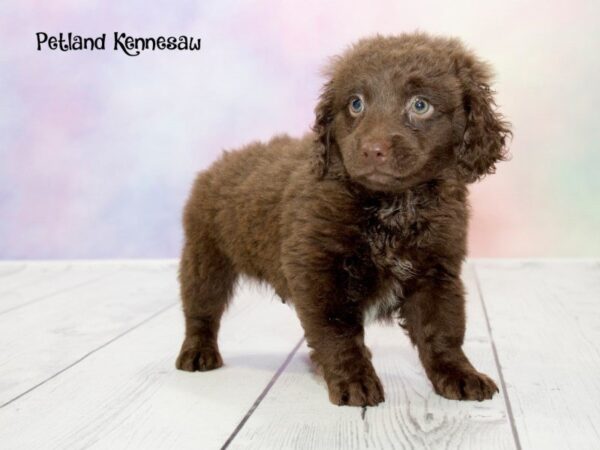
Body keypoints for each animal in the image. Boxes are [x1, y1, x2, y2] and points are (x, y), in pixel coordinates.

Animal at [176, 33, 508, 406]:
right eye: (356, 104)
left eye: (420, 105)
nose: (373, 150)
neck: (393, 208)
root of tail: (219, 164)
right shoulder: (320, 272)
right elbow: (337, 333)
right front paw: (354, 381)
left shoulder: (437, 272)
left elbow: (442, 331)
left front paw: (460, 374)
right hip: (205, 257)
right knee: (201, 308)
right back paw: (197, 352)